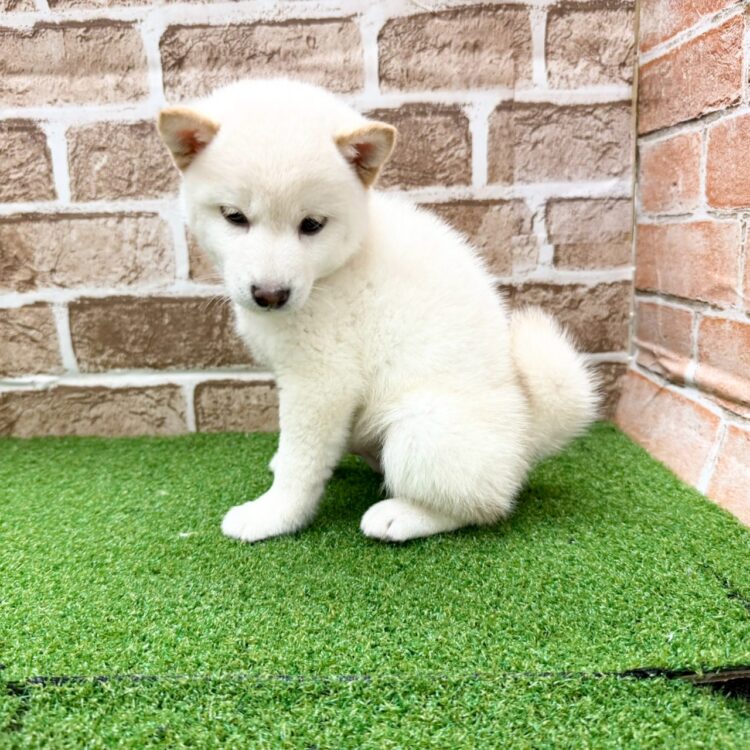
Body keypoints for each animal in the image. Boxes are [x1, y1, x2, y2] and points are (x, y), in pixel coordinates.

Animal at [157, 78, 598, 543]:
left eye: (312, 224)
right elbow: (293, 446)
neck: (334, 271)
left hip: (420, 429)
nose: (271, 295)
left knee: (482, 504)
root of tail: (529, 431)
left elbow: (301, 461)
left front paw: (274, 514)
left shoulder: (322, 381)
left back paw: (401, 515)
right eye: (234, 216)